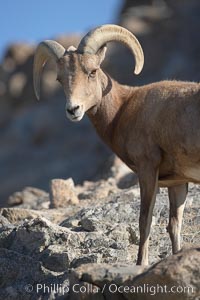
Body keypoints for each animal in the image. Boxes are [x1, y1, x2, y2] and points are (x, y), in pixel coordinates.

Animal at [33, 24, 199, 264]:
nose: (73, 110)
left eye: (92, 71)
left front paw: (140, 264)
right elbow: (174, 226)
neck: (123, 109)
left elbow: (145, 221)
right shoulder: (177, 182)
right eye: (59, 79)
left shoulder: (147, 170)